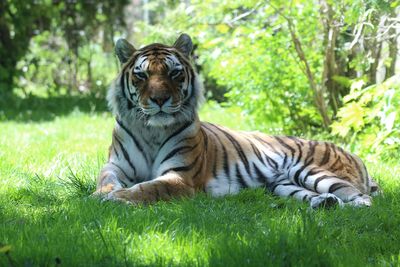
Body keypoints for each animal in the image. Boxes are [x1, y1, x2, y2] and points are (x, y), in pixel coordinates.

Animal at [94, 34, 378, 209]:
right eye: (141, 75)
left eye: (174, 73)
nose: (160, 99)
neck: (151, 131)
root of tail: (352, 153)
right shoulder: (116, 165)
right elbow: (105, 178)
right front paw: (102, 193)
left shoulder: (180, 176)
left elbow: (147, 188)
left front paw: (116, 198)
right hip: (284, 185)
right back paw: (324, 203)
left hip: (311, 170)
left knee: (361, 197)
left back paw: (354, 205)